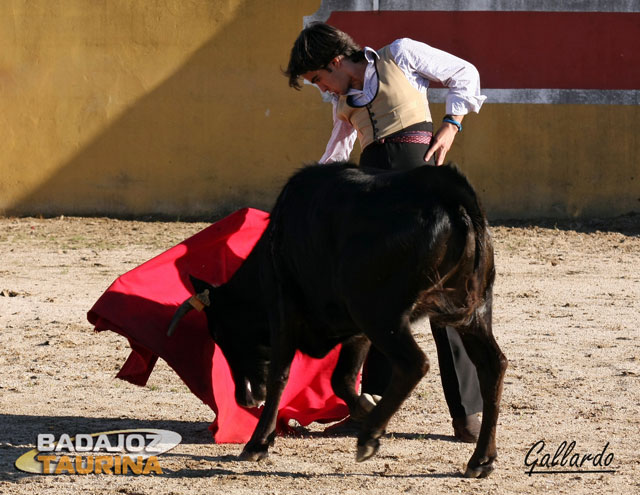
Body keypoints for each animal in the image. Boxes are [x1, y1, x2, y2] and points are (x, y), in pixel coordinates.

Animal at [168, 164, 508, 480]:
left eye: (220, 334)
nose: (245, 399)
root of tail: (449, 193)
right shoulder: (356, 331)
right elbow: (341, 379)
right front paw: (365, 407)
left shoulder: (284, 307)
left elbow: (281, 374)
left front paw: (257, 444)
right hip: (473, 311)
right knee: (493, 365)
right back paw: (481, 460)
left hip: (380, 314)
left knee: (415, 363)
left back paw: (368, 439)